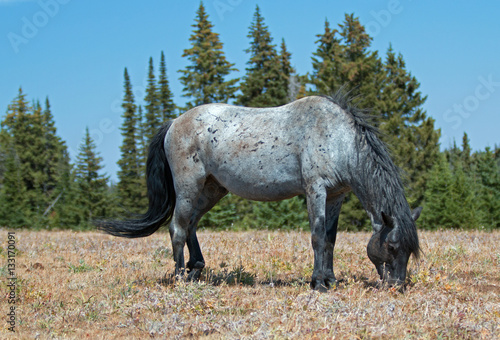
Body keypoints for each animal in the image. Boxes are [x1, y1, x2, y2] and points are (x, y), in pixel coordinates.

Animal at [95, 91, 420, 292]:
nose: (397, 285)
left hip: (212, 189)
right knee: (177, 227)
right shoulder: (315, 190)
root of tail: (174, 122)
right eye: (392, 247)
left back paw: (196, 269)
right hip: (189, 186)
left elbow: (330, 239)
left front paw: (331, 280)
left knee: (191, 225)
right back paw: (179, 278)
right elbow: (317, 236)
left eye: (409, 250)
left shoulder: (336, 196)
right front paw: (317, 283)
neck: (338, 137)